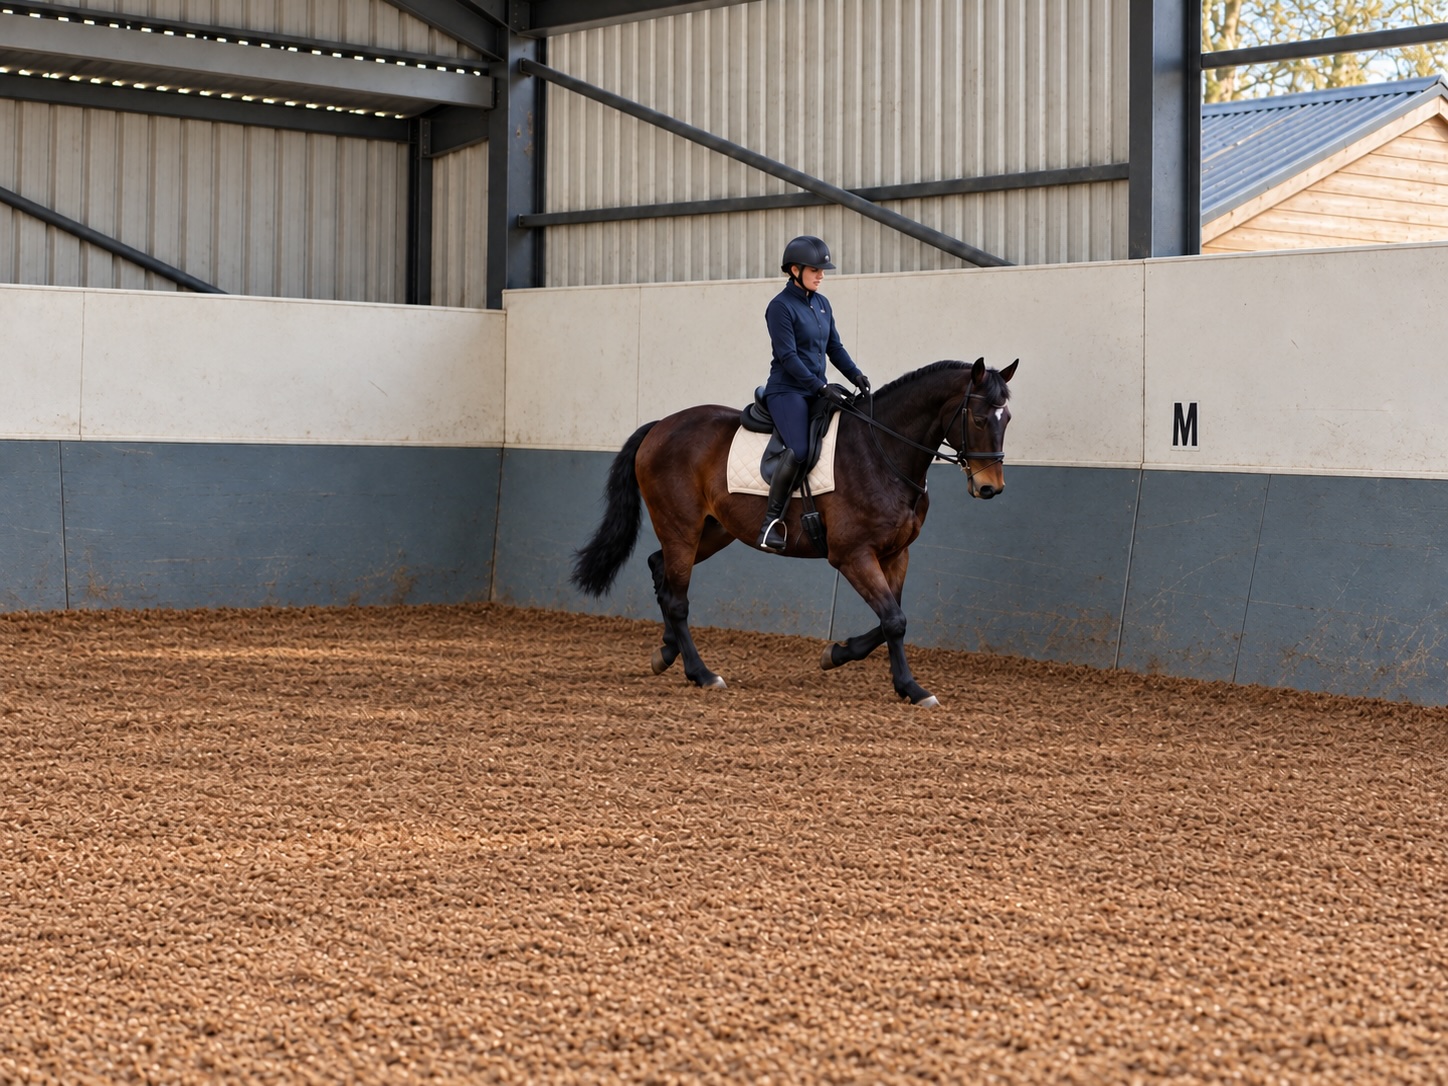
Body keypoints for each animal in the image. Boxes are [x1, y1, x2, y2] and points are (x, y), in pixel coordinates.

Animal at [570, 357, 1017, 706]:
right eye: (979, 418)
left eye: (1008, 419)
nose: (990, 488)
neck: (883, 452)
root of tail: (661, 425)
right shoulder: (853, 555)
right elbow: (893, 619)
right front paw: (911, 687)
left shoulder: (896, 553)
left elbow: (892, 618)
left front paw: (839, 653)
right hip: (681, 527)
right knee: (677, 598)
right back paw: (702, 673)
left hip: (712, 531)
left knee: (661, 570)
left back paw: (666, 653)